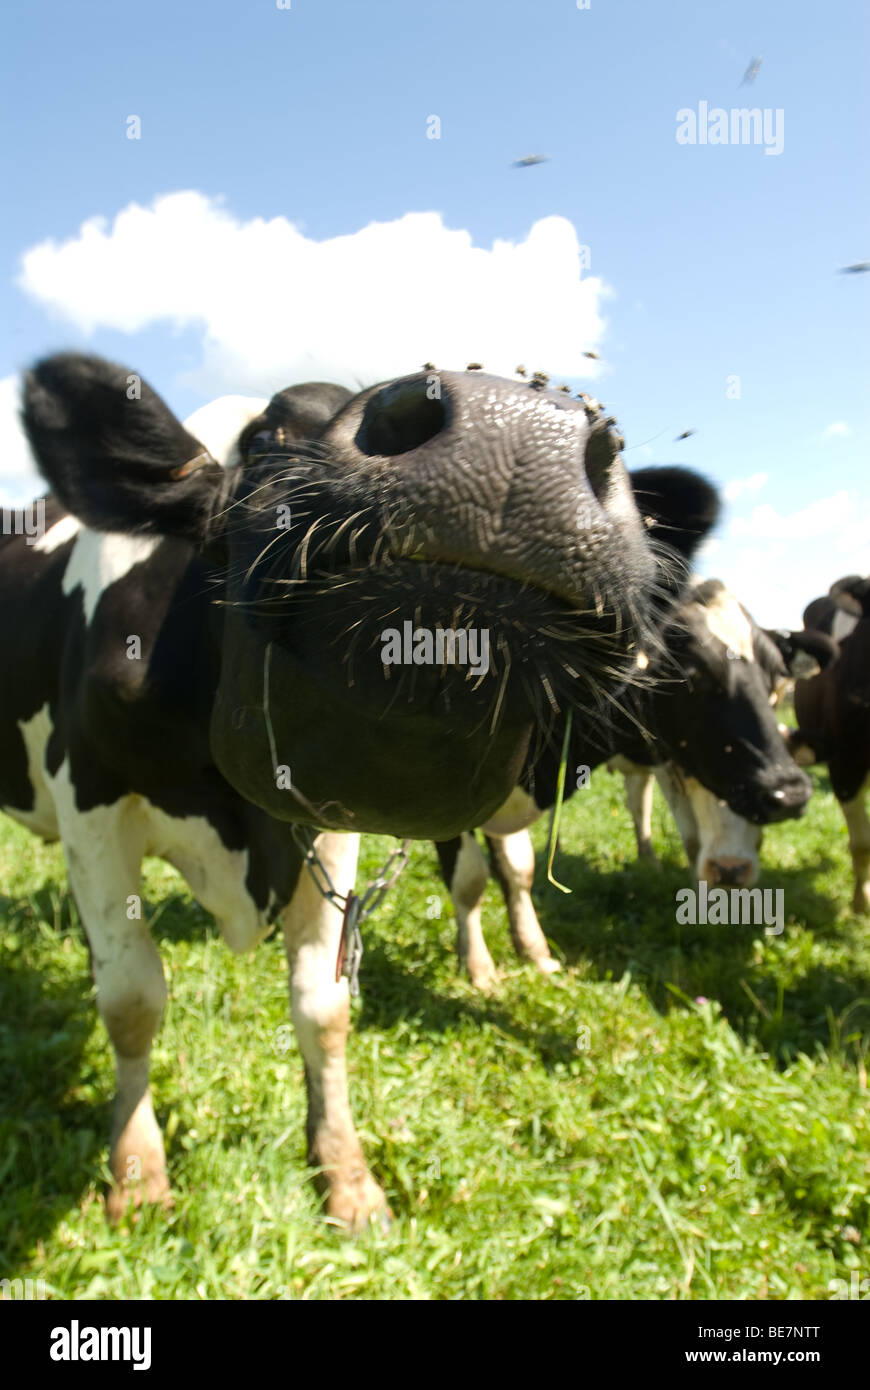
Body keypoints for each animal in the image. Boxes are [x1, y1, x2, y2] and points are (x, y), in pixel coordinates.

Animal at [0, 352, 719, 1229]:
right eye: (265, 440)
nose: (516, 432)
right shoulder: (92, 806)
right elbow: (132, 998)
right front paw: (137, 1176)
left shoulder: (325, 816)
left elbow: (324, 1005)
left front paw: (344, 1172)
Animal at [434, 579, 825, 988]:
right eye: (692, 675)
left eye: (777, 678)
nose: (790, 792)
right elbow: (471, 879)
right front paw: (478, 968)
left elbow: (518, 870)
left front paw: (534, 951)